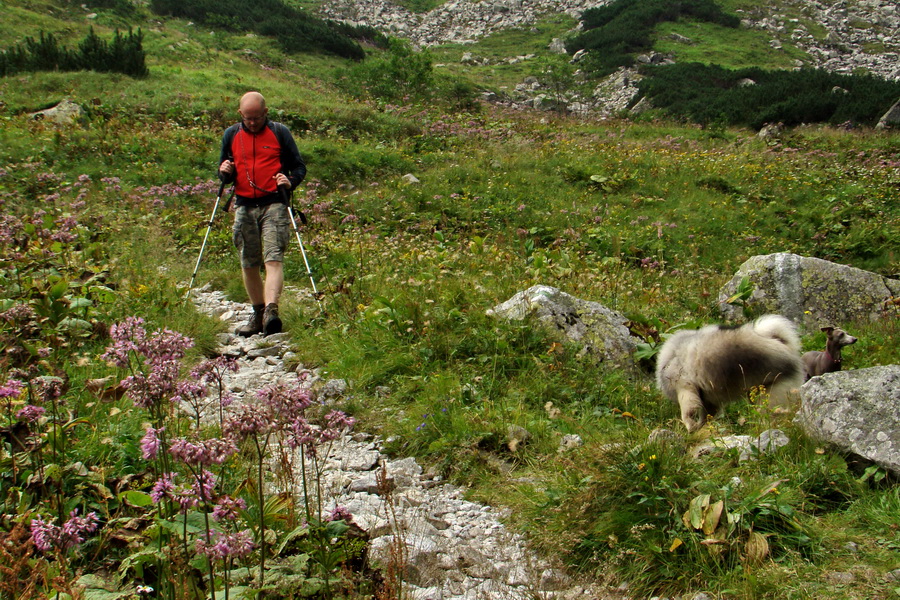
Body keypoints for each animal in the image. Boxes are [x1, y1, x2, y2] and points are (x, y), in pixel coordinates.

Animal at [652, 314, 800, 432]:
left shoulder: (683, 385)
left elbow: (688, 409)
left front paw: (691, 427)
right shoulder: (707, 399)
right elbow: (707, 412)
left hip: (772, 393)